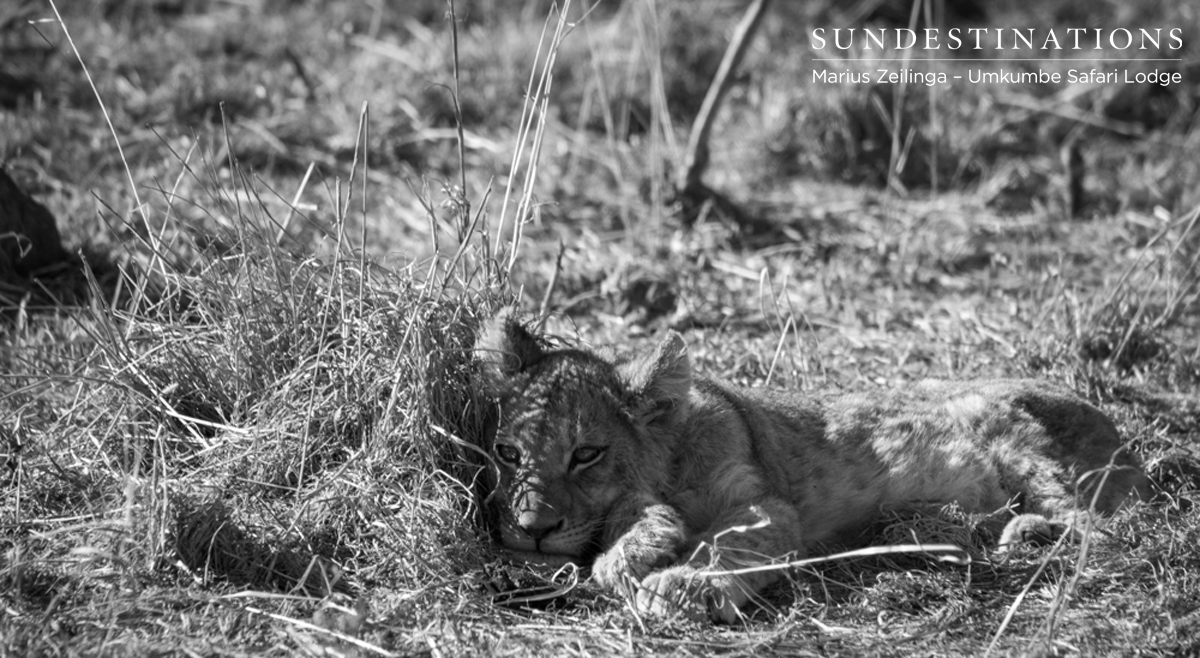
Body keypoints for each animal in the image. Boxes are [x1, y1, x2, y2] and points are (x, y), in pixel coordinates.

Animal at [475, 310, 1149, 623]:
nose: (532, 530)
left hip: (1013, 435)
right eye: (508, 454)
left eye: (586, 453)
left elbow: (723, 545)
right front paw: (637, 547)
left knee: (1102, 530)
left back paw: (1027, 535)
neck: (668, 462)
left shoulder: (765, 505)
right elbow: (640, 521)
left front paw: (679, 585)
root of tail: (1120, 431)